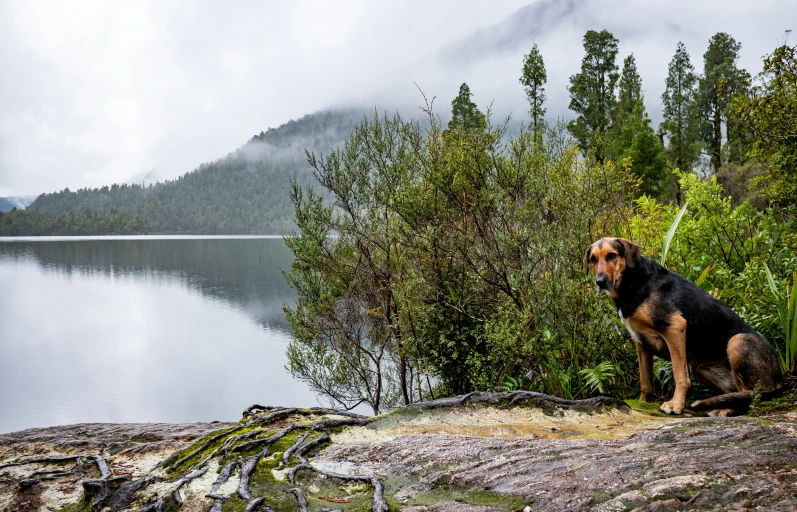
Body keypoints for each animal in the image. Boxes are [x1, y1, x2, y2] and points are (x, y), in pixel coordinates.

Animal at [584, 237, 784, 416]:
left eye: (612, 255)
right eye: (593, 259)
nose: (600, 282)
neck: (632, 282)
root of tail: (779, 380)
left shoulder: (675, 328)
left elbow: (679, 376)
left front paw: (676, 405)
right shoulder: (640, 342)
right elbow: (645, 383)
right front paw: (642, 404)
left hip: (737, 341)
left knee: (749, 396)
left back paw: (724, 409)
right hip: (700, 368)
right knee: (737, 393)